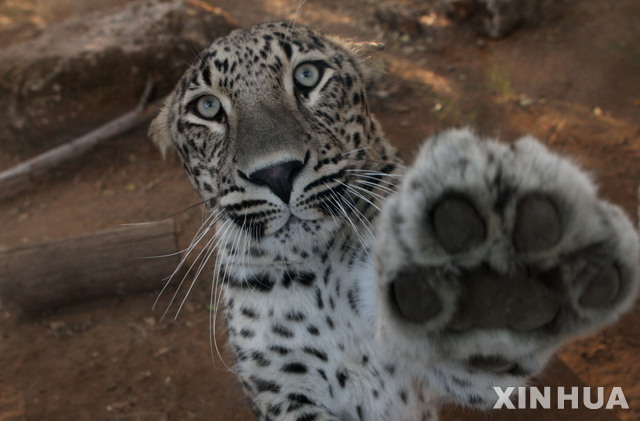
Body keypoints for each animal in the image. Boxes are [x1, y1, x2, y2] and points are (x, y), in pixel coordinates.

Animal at [148, 21, 636, 418]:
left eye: (307, 76)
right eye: (207, 109)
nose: (276, 172)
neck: (316, 270)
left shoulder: (448, 372)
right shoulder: (284, 391)